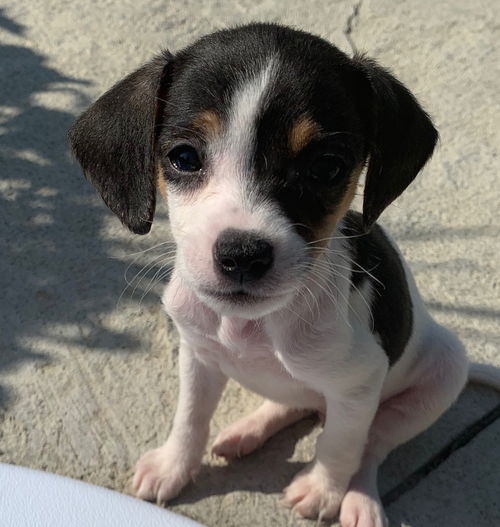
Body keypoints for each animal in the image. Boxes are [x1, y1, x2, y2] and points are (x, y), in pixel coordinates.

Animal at [69, 23, 500, 527]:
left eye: (327, 168)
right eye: (184, 157)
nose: (241, 255)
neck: (252, 327)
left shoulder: (359, 388)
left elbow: (341, 445)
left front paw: (322, 489)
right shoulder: (198, 356)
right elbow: (190, 418)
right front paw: (173, 466)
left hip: (435, 380)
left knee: (372, 446)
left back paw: (358, 498)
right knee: (292, 402)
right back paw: (247, 431)